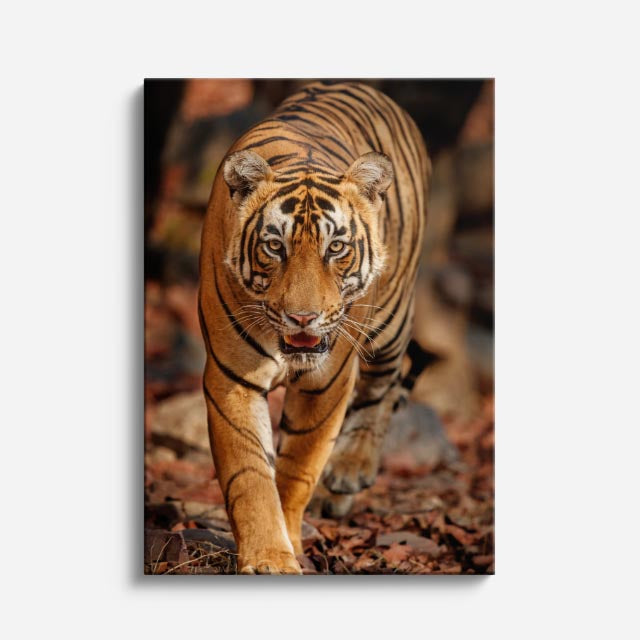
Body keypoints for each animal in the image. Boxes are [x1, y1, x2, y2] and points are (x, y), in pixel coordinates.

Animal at [199, 80, 431, 574]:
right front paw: (268, 556)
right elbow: (250, 473)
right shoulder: (232, 379)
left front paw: (289, 539)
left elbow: (298, 469)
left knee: (384, 386)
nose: (302, 317)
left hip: (391, 322)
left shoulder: (328, 382)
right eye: (274, 247)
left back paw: (350, 470)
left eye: (336, 247)